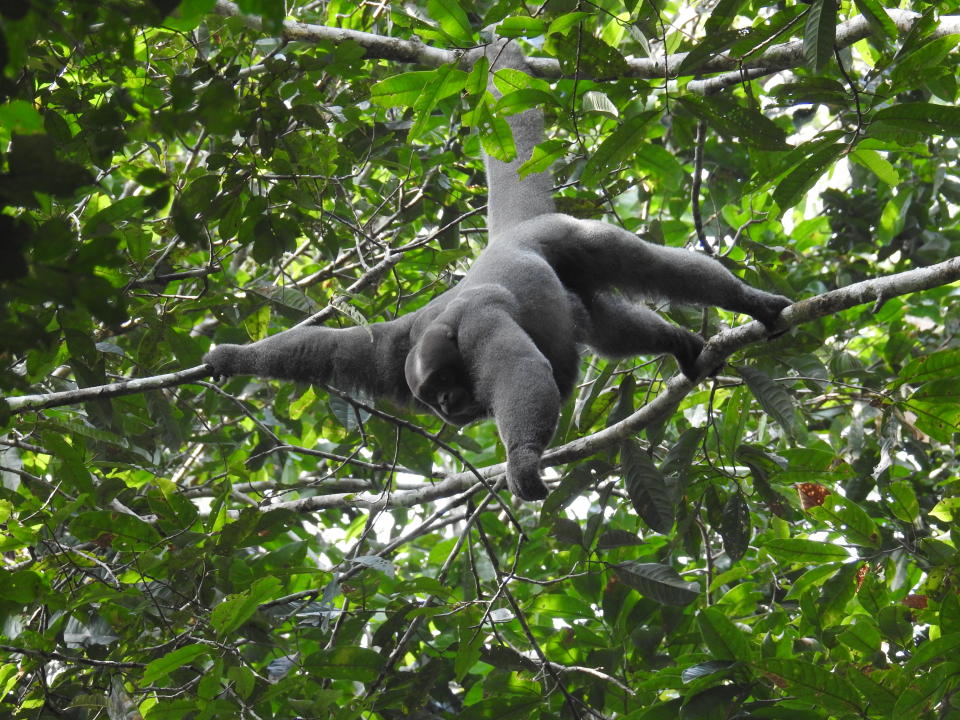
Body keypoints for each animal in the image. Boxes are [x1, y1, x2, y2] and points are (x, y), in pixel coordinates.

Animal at [204, 38, 788, 500]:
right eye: (426, 396)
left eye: (443, 382)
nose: (443, 405)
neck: (439, 335)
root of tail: (509, 234)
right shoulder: (390, 354)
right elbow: (326, 350)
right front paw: (229, 357)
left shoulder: (479, 327)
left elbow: (521, 372)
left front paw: (523, 459)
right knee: (606, 331)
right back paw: (677, 342)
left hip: (566, 235)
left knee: (649, 266)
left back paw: (750, 302)